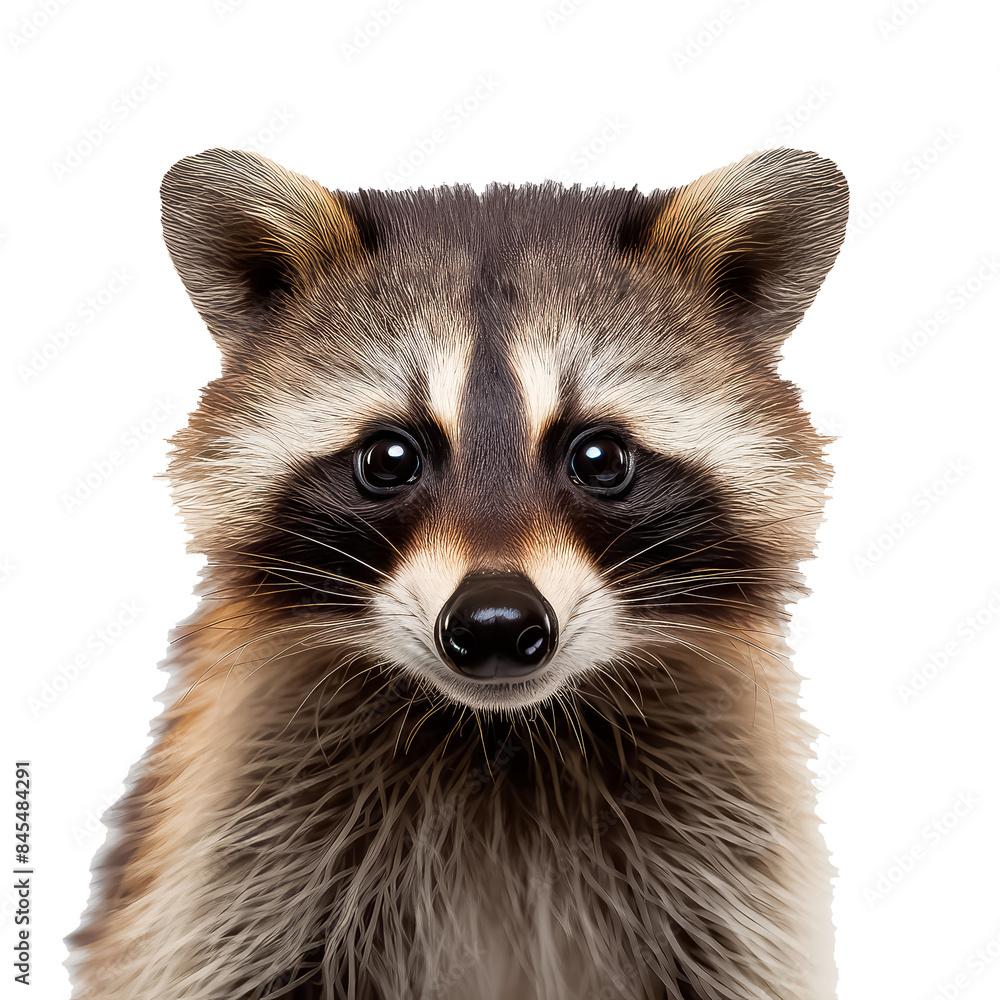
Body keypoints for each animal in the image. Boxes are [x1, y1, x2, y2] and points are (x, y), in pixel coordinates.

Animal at [67, 147, 848, 1000]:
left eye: (599, 456)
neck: (498, 738)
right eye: (389, 458)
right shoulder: (235, 854)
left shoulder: (726, 855)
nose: (496, 622)